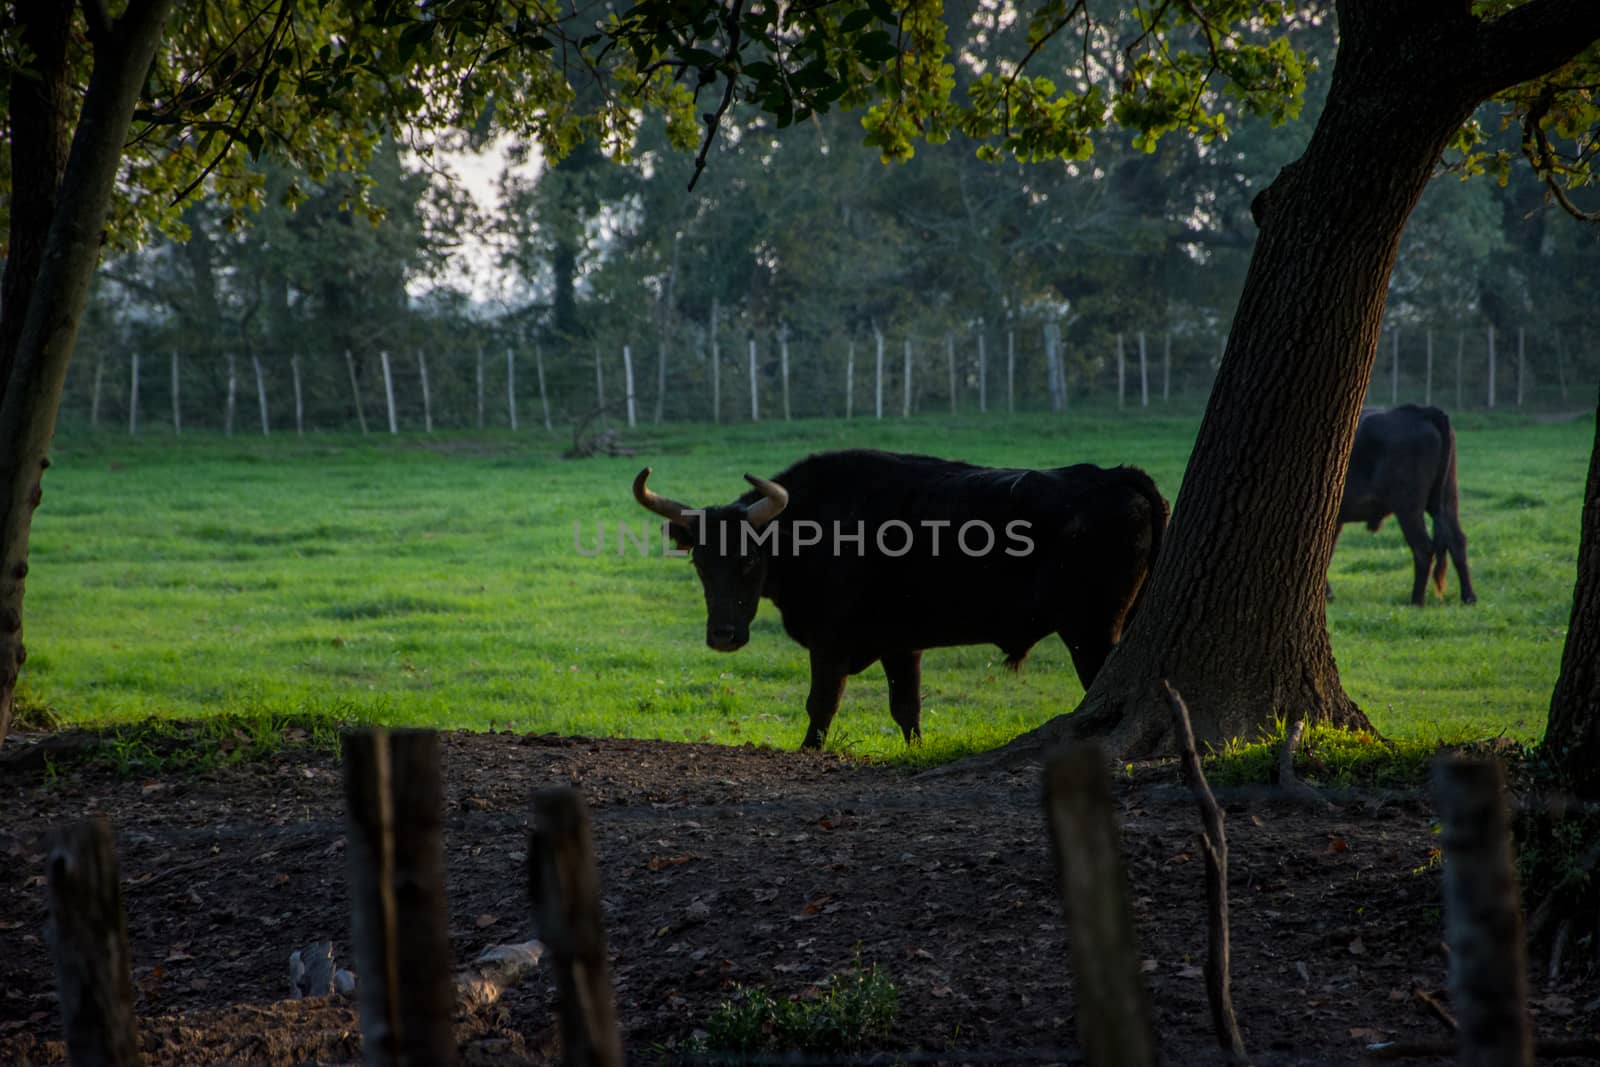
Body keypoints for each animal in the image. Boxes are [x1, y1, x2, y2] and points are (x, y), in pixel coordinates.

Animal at [630, 451, 1171, 751]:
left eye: (748, 560)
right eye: (700, 562)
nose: (723, 636)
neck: (814, 525)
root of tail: (1116, 475)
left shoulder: (830, 644)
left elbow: (821, 704)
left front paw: (810, 749)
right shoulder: (900, 645)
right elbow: (907, 708)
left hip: (1091, 631)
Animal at [1337, 403, 1472, 604]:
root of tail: (1422, 412)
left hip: (1408, 508)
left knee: (1423, 548)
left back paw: (1416, 600)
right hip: (1447, 499)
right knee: (1457, 541)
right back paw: (1469, 597)